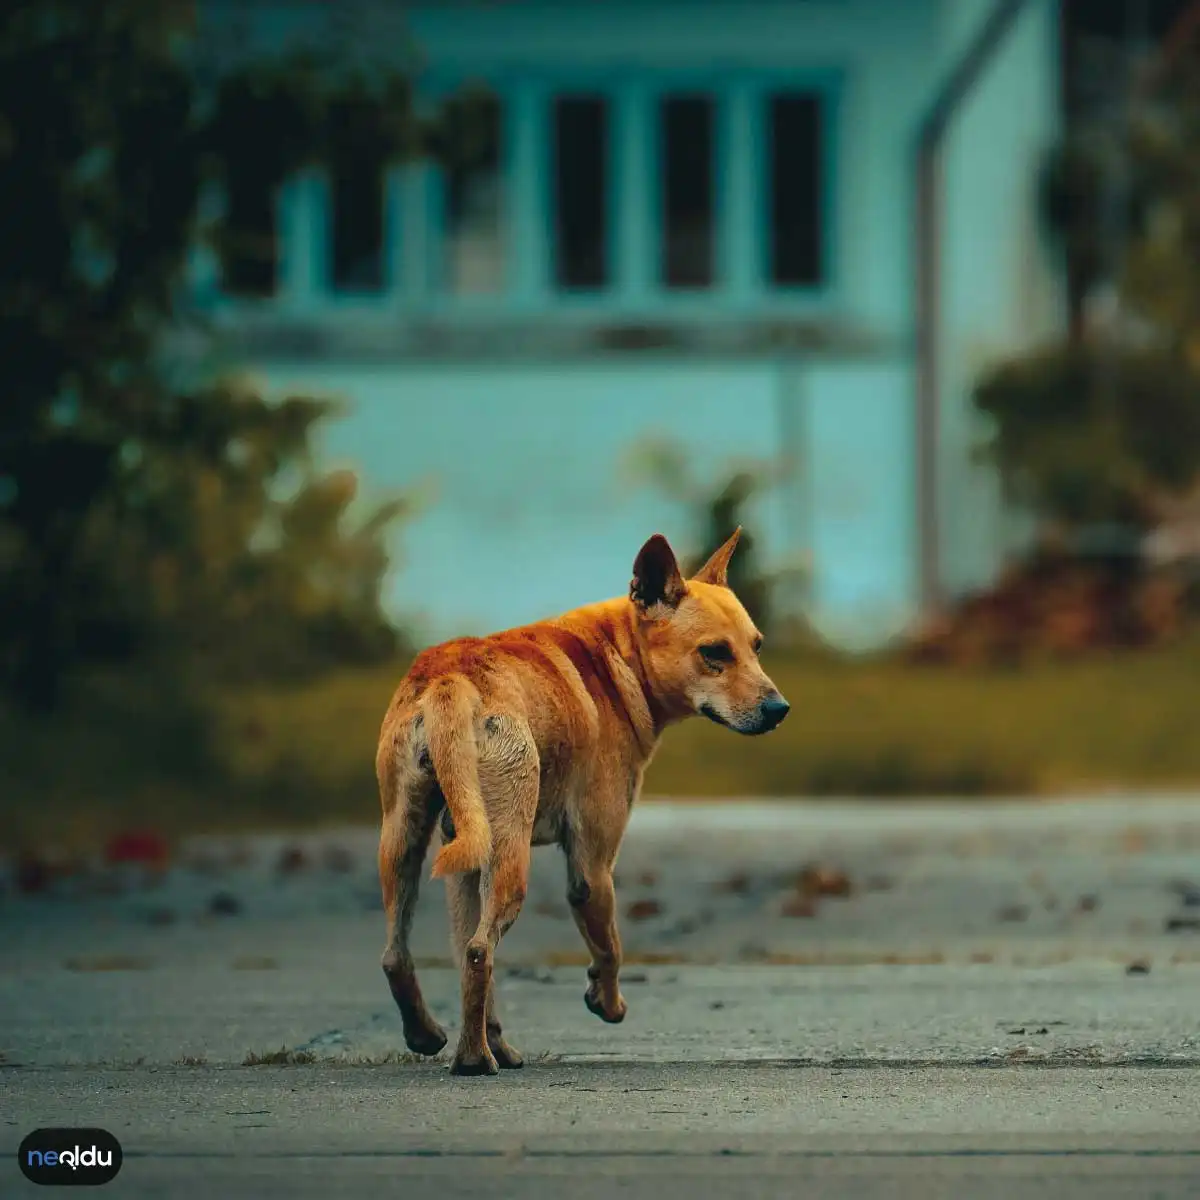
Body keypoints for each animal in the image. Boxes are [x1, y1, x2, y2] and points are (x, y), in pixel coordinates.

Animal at [374, 530, 787, 1075]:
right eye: (714, 653)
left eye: (756, 647)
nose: (780, 709)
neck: (617, 658)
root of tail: (451, 678)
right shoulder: (592, 867)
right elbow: (610, 948)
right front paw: (607, 1002)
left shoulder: (461, 866)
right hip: (509, 857)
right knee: (482, 952)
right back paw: (475, 1058)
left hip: (410, 842)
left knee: (416, 956)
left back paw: (445, 1039)